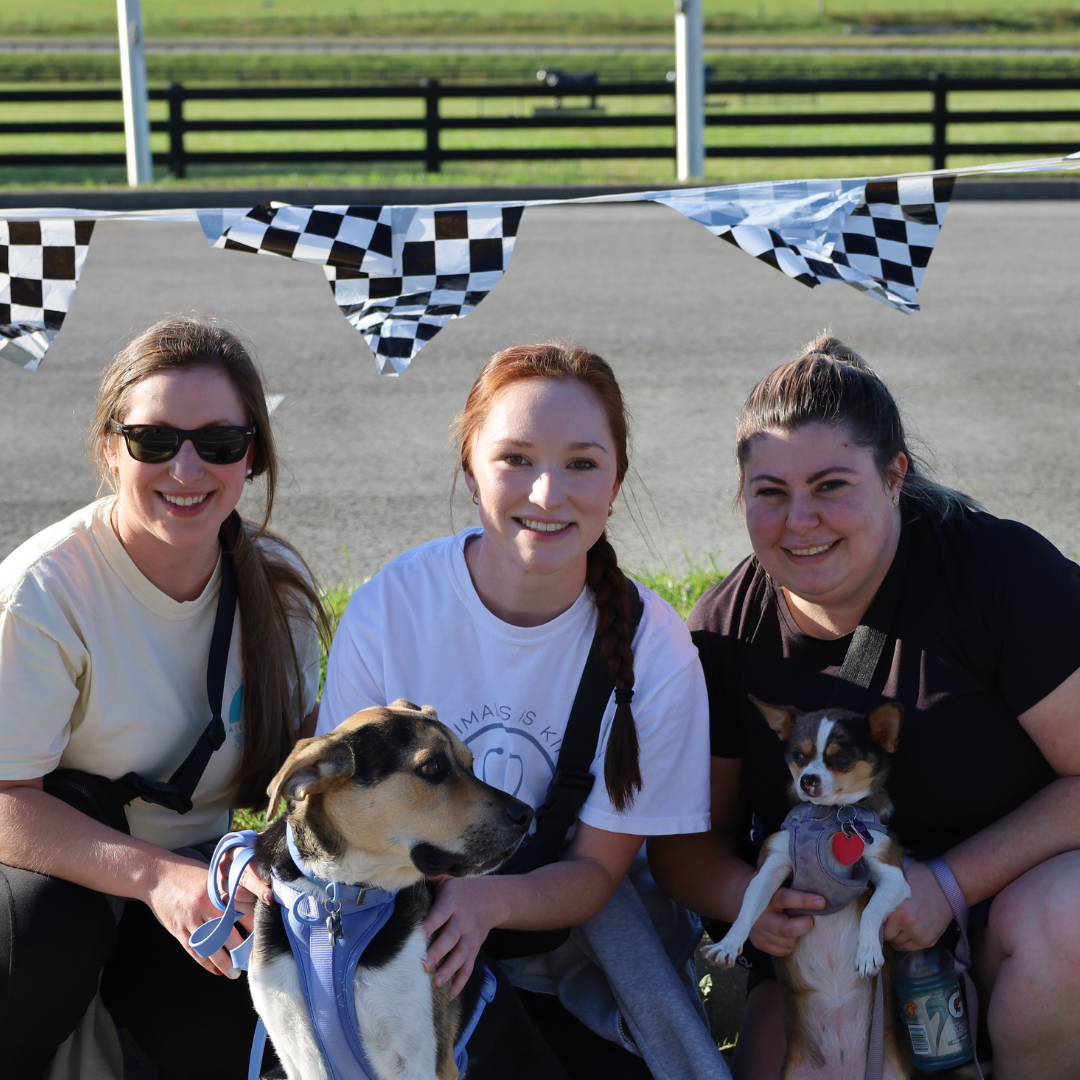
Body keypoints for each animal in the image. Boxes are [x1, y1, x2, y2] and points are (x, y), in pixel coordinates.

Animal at [708, 699, 911, 1080]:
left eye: (841, 759)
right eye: (797, 756)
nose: (808, 780)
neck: (830, 819)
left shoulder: (894, 877)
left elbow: (872, 910)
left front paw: (867, 951)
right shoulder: (771, 867)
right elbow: (749, 907)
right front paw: (728, 944)